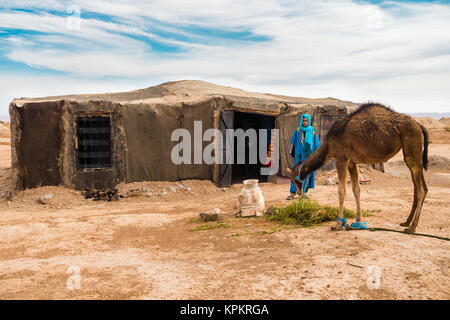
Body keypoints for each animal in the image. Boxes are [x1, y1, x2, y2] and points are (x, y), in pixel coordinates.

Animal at [288, 103, 428, 232]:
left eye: (293, 179)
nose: (299, 192)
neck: (328, 146)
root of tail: (419, 125)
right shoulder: (352, 162)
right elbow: (356, 190)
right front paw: (358, 221)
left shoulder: (341, 159)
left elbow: (341, 191)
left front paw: (338, 224)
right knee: (418, 187)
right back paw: (406, 222)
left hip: (412, 147)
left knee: (421, 188)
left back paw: (412, 227)